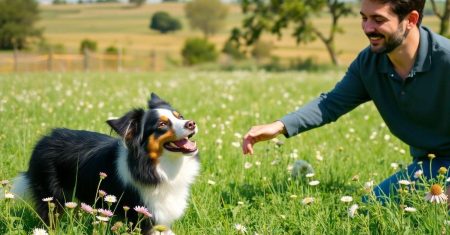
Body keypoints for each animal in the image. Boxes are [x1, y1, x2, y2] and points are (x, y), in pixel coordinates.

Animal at [10, 92, 200, 234]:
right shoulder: (142, 215)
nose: (191, 123)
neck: (158, 165)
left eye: (180, 117)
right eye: (162, 124)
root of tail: (44, 140)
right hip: (51, 197)